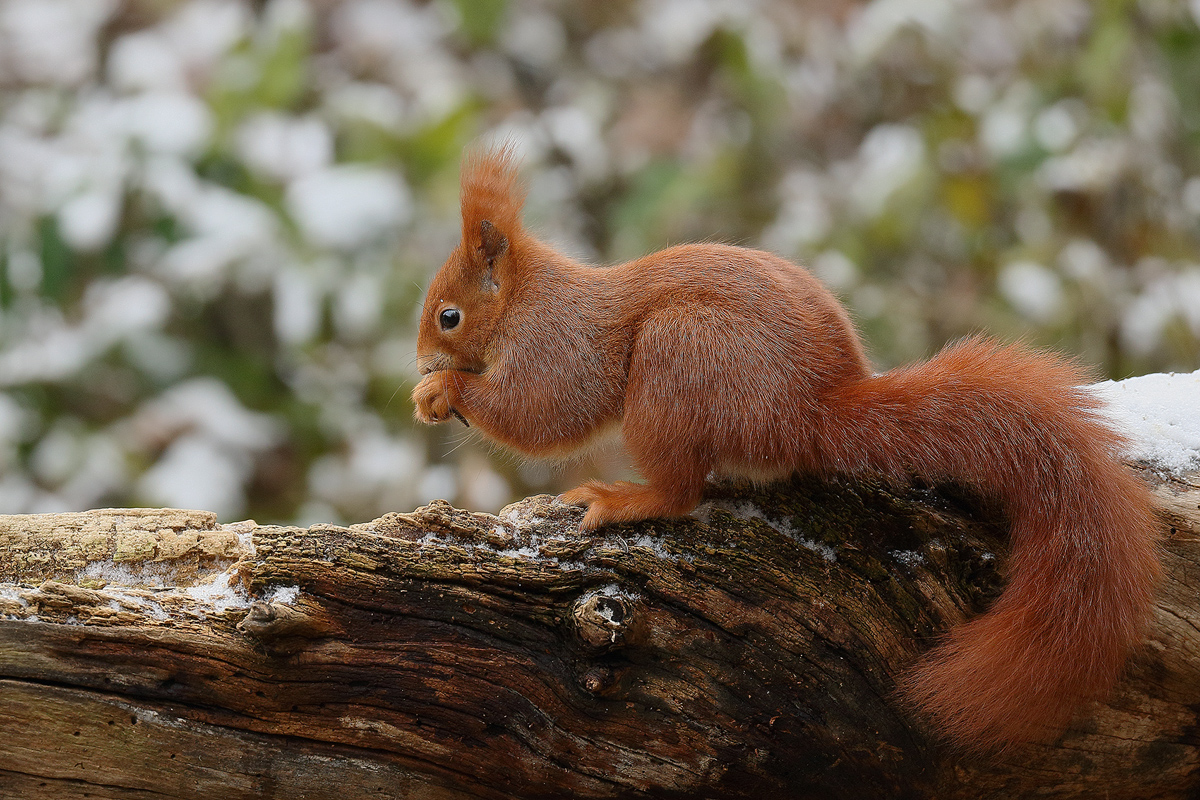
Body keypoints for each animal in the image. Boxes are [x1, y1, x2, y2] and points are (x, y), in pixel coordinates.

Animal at [412, 148, 1161, 753]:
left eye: (449, 316)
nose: (418, 360)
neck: (527, 300)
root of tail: (813, 413)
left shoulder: (558, 346)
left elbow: (547, 411)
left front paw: (444, 389)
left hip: (678, 360)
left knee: (681, 492)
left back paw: (626, 498)